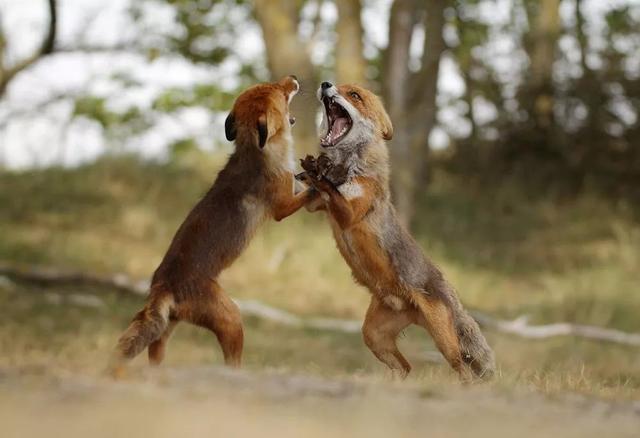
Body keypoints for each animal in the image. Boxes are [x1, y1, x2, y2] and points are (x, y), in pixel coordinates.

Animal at [110, 76, 316, 376]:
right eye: (277, 89)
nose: (293, 78)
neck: (257, 152)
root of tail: (163, 286)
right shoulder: (282, 206)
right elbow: (311, 193)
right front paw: (328, 185)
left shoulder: (292, 186)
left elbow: (305, 181)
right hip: (232, 319)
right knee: (232, 360)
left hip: (167, 329)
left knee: (155, 352)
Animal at [300, 81, 496, 380]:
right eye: (338, 87)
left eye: (354, 95)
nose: (325, 84)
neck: (349, 167)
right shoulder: (313, 205)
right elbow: (307, 194)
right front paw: (306, 173)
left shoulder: (351, 213)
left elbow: (333, 191)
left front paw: (319, 174)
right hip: (374, 336)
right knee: (406, 367)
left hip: (444, 343)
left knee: (462, 369)